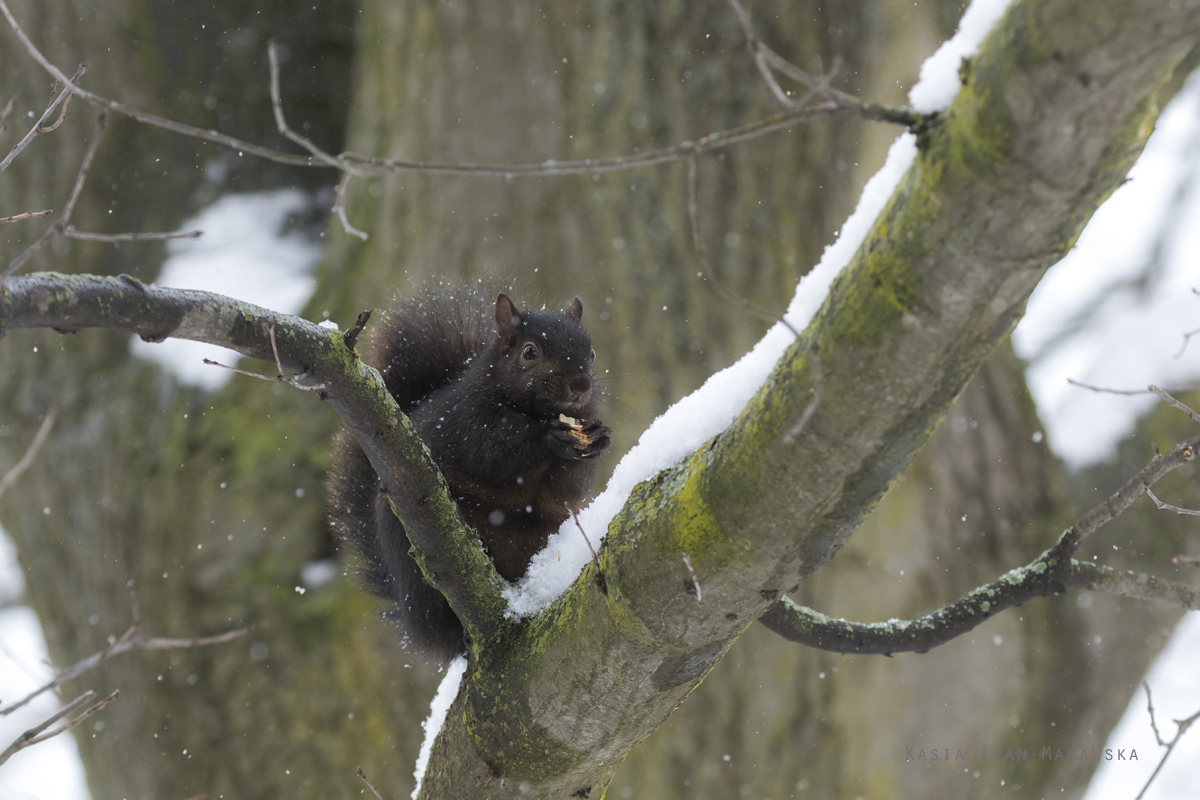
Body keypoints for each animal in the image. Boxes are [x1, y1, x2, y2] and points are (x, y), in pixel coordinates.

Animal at [328, 284, 609, 662]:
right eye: (529, 352)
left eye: (590, 352)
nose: (580, 386)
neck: (535, 412)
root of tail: (412, 618)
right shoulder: (467, 421)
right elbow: (491, 458)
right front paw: (547, 439)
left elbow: (568, 487)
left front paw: (598, 436)